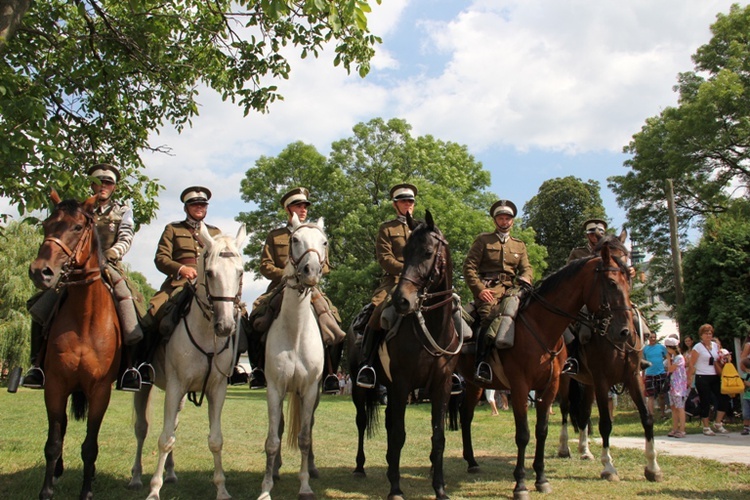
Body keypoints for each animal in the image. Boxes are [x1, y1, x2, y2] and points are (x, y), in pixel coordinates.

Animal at [28, 192, 122, 500]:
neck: (84, 318)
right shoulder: (56, 385)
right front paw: (46, 490)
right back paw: (57, 471)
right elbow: (53, 442)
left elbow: (90, 446)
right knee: (63, 429)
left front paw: (86, 491)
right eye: (46, 224)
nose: (40, 272)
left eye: (78, 227)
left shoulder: (101, 390)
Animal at [129, 225, 247, 500]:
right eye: (210, 272)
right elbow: (164, 439)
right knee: (142, 429)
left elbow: (215, 440)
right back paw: (137, 477)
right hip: (145, 387)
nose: (226, 326)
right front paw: (154, 490)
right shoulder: (175, 386)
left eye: (240, 272)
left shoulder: (217, 390)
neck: (205, 333)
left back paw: (171, 473)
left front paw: (221, 489)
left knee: (174, 425)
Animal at [352, 211, 458, 500]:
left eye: (428, 252)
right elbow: (399, 434)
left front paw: (440, 488)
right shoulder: (401, 385)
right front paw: (396, 490)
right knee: (362, 422)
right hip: (360, 388)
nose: (401, 300)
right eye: (405, 252)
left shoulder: (441, 386)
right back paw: (360, 467)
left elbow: (438, 437)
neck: (432, 327)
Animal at [452, 237, 636, 500]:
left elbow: (541, 430)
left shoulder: (549, 387)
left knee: (466, 416)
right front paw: (520, 484)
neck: (540, 326)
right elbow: (523, 434)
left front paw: (541, 478)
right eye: (611, 283)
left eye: (628, 281)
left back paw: (472, 461)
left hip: (476, 383)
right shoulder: (519, 387)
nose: (625, 332)